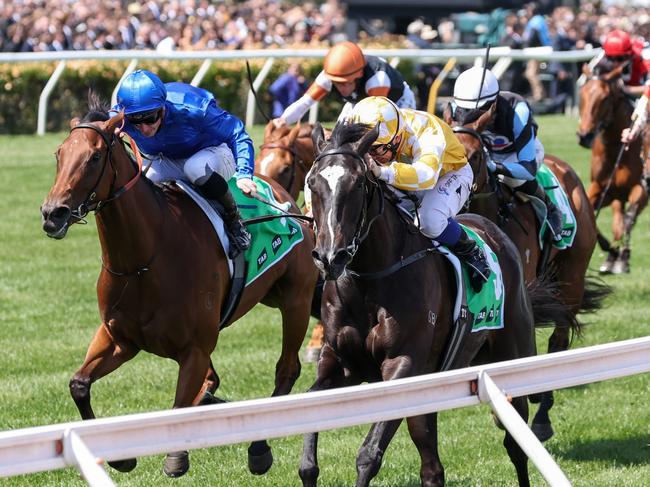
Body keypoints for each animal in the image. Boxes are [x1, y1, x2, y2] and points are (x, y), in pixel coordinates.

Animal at [39, 96, 318, 480]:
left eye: (94, 157)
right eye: (59, 153)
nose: (53, 213)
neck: (144, 260)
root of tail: (284, 198)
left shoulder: (194, 350)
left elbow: (179, 408)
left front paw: (176, 458)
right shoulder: (119, 338)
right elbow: (79, 384)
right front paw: (121, 458)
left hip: (296, 299)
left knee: (286, 369)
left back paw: (259, 448)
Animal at [298, 121, 572, 487]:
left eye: (358, 184)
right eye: (312, 183)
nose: (331, 257)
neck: (368, 281)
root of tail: (497, 233)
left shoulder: (403, 364)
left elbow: (368, 455)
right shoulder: (340, 363)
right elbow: (308, 445)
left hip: (512, 357)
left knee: (516, 444)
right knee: (432, 466)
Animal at [576, 63, 644, 274]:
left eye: (605, 98)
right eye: (582, 94)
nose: (585, 136)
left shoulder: (641, 189)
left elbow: (629, 219)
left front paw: (623, 258)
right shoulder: (601, 189)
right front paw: (611, 253)